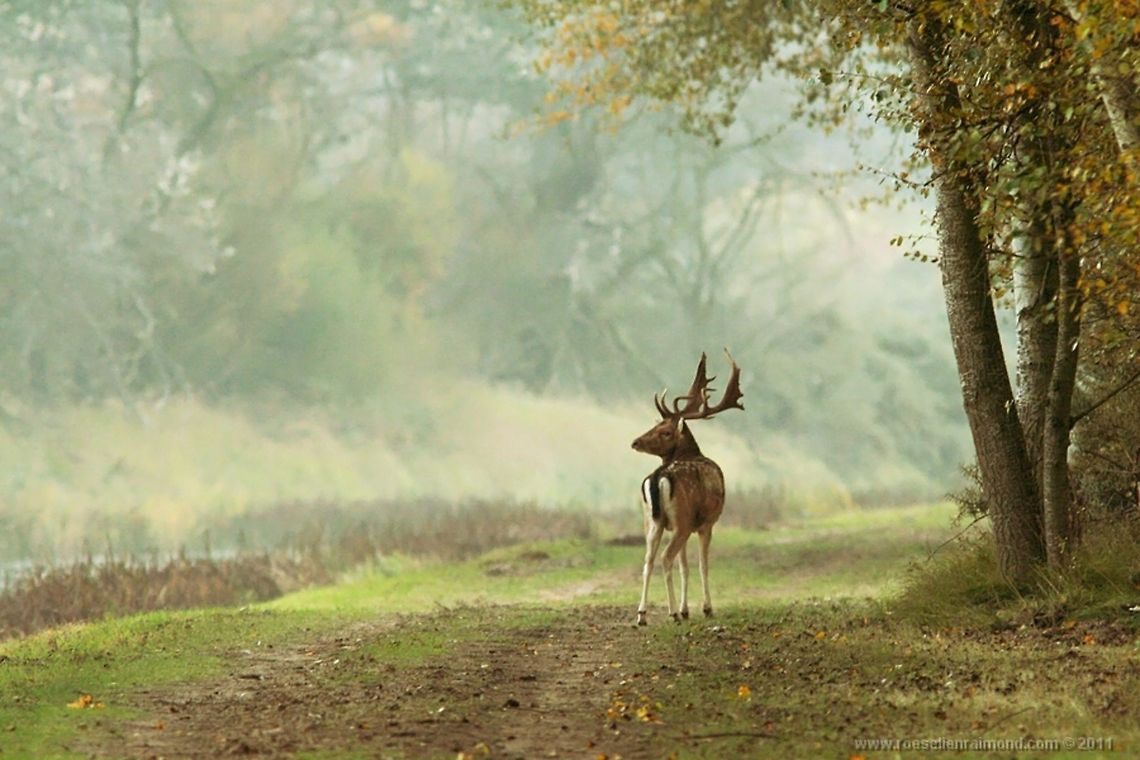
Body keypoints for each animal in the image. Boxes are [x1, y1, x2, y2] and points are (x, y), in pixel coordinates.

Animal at [631, 349, 743, 626]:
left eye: (665, 431)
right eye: (657, 426)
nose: (635, 441)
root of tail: (659, 476)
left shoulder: (682, 525)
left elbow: (685, 566)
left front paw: (686, 609)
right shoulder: (706, 523)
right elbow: (703, 564)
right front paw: (705, 608)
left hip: (652, 521)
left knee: (648, 560)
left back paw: (642, 615)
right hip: (681, 520)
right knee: (665, 557)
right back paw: (671, 613)